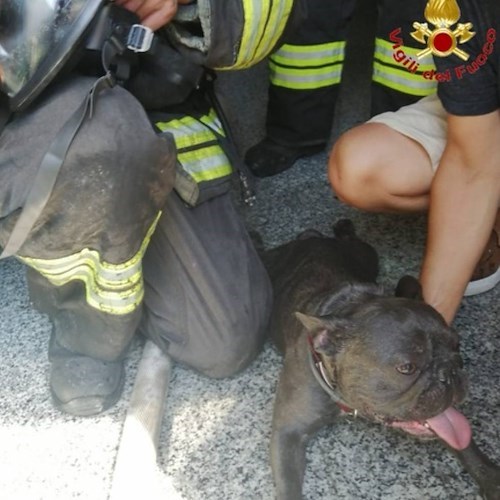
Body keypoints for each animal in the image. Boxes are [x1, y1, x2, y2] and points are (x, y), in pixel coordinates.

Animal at [264, 221, 498, 500]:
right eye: (406, 368)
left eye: (457, 347)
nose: (451, 370)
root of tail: (310, 238)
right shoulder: (288, 432)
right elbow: (288, 483)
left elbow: (467, 445)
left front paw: (491, 478)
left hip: (366, 253)